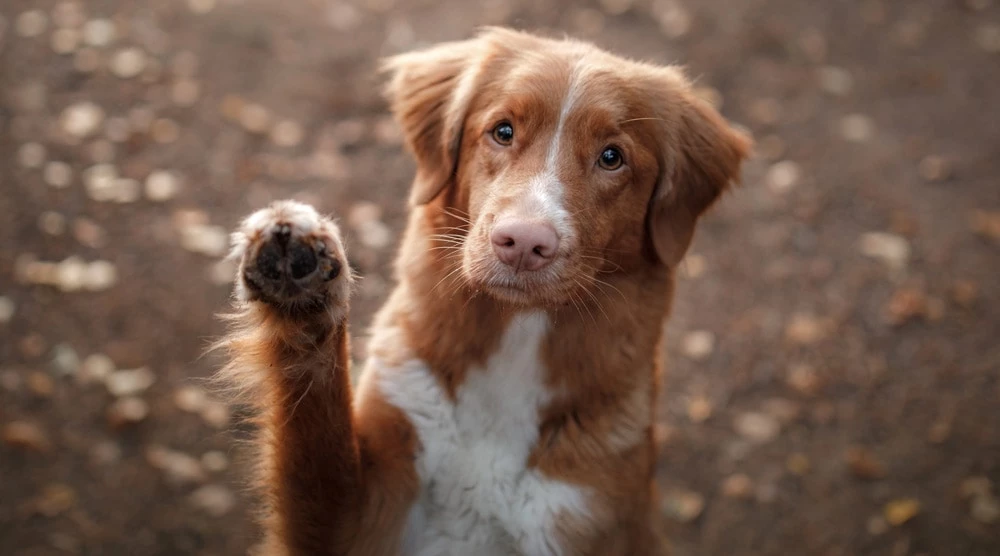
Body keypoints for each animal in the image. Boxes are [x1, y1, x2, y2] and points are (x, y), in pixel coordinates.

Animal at [221, 25, 752, 556]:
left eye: (611, 158)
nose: (524, 243)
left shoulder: (580, 515)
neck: (514, 342)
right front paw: (301, 283)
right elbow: (314, 423)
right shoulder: (361, 514)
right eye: (503, 131)